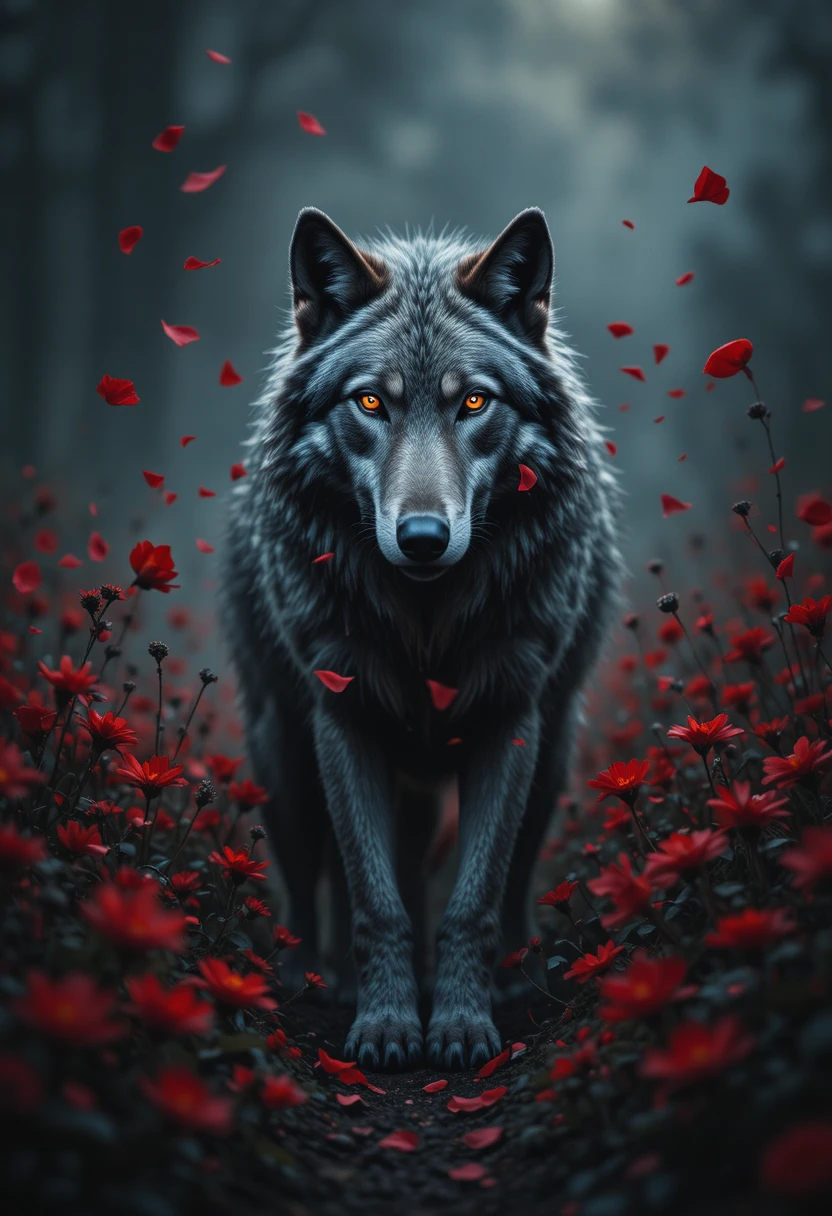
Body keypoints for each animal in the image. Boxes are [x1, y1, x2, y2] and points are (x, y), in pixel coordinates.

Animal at [222, 206, 621, 1072]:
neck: (425, 620)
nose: (425, 537)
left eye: (473, 402)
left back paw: (509, 978)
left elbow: (474, 896)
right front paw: (384, 1025)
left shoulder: (511, 722)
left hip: (552, 754)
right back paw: (315, 980)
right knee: (313, 880)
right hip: (286, 758)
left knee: (509, 878)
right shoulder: (342, 720)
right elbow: (374, 900)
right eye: (371, 402)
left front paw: (463, 1024)